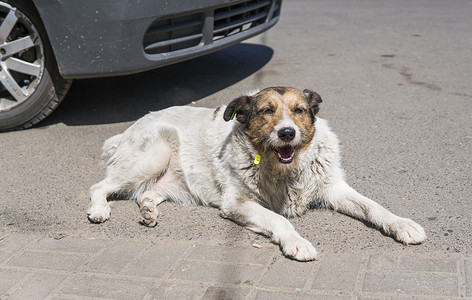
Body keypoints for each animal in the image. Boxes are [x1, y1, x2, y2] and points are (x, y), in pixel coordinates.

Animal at [86, 86, 426, 260]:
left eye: (299, 111)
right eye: (267, 111)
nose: (287, 133)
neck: (285, 170)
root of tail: (129, 128)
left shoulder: (333, 188)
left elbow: (373, 206)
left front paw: (402, 225)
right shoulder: (238, 204)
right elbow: (279, 220)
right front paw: (297, 243)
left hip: (168, 180)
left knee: (146, 193)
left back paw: (147, 211)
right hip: (153, 155)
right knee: (99, 186)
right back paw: (100, 210)